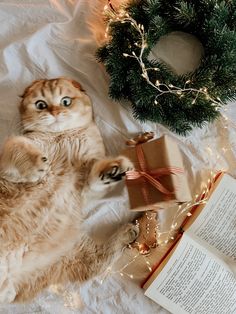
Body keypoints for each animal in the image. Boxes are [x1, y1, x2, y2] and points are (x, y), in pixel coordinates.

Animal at [0, 77, 138, 302]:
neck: (62, 137)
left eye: (65, 101)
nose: (55, 112)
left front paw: (112, 171)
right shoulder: (9, 152)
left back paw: (128, 232)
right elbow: (16, 143)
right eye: (41, 105)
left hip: (68, 256)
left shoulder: (83, 189)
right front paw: (36, 166)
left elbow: (95, 177)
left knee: (94, 263)